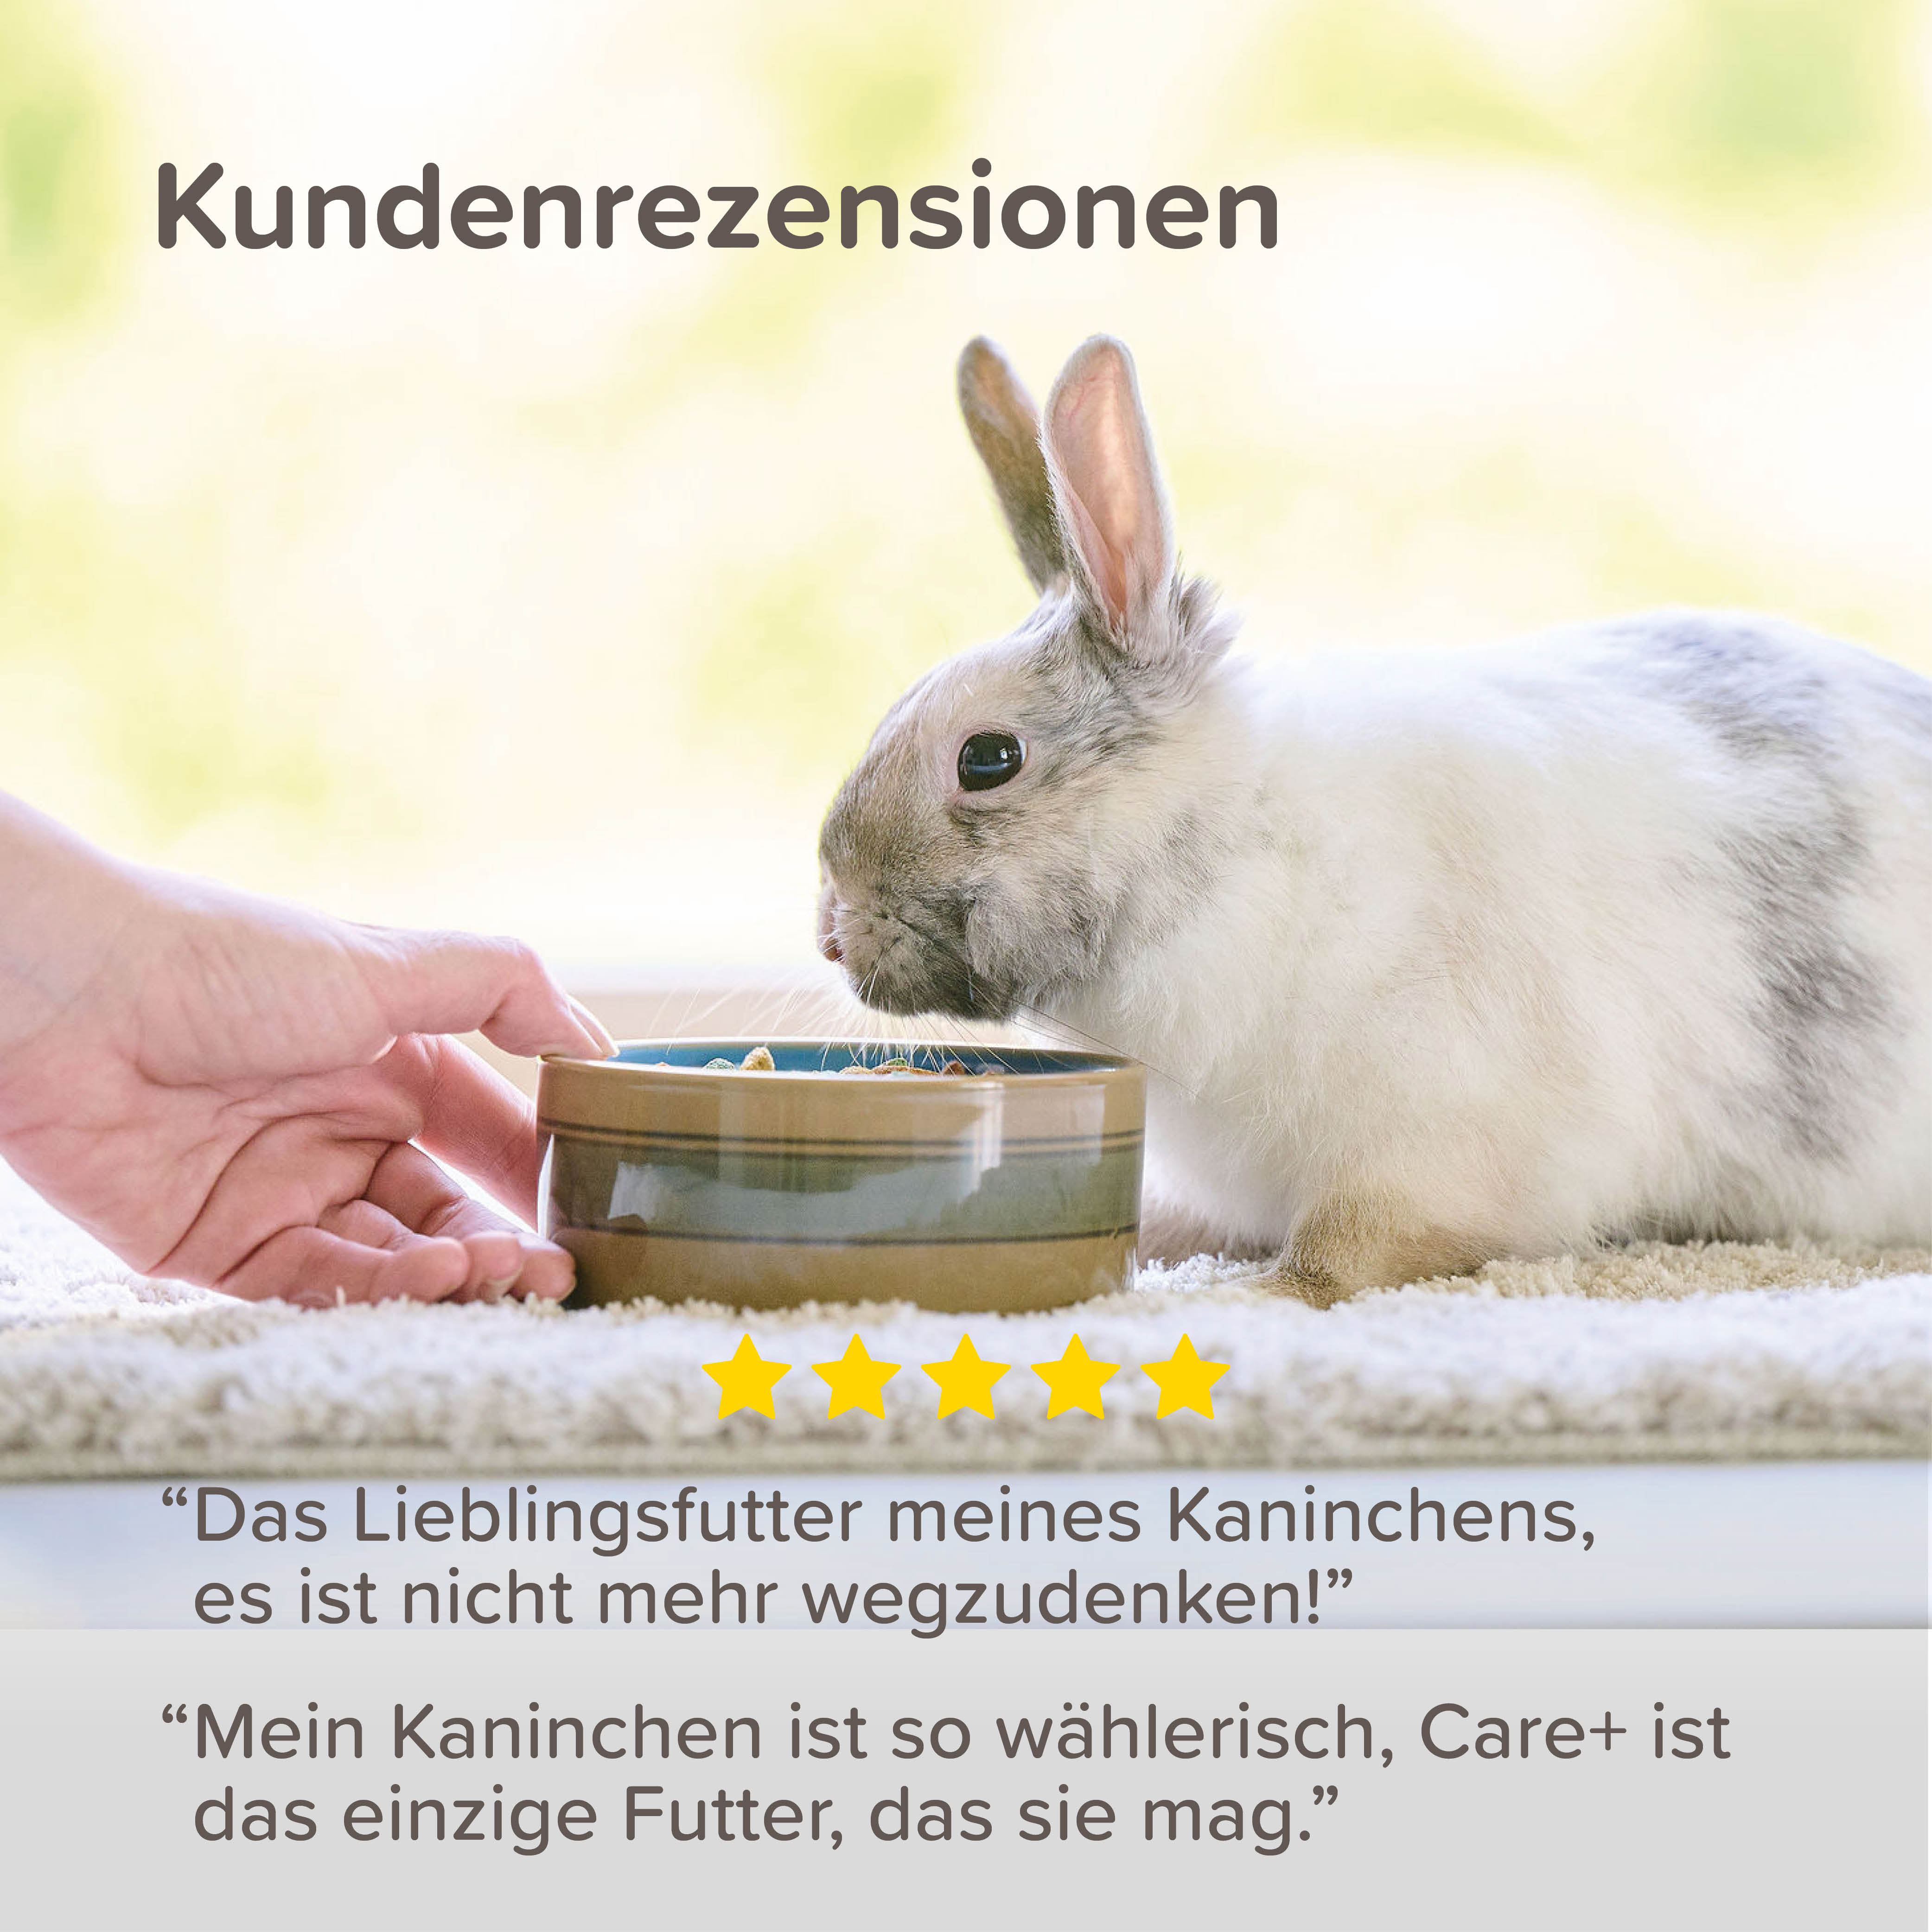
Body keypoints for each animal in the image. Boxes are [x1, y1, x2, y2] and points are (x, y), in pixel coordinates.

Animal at [816, 334, 1932, 1304]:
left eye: (987, 759)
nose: (830, 932)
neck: (1230, 856)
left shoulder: (1437, 1147)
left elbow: (1345, 1249)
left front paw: (1251, 1299)